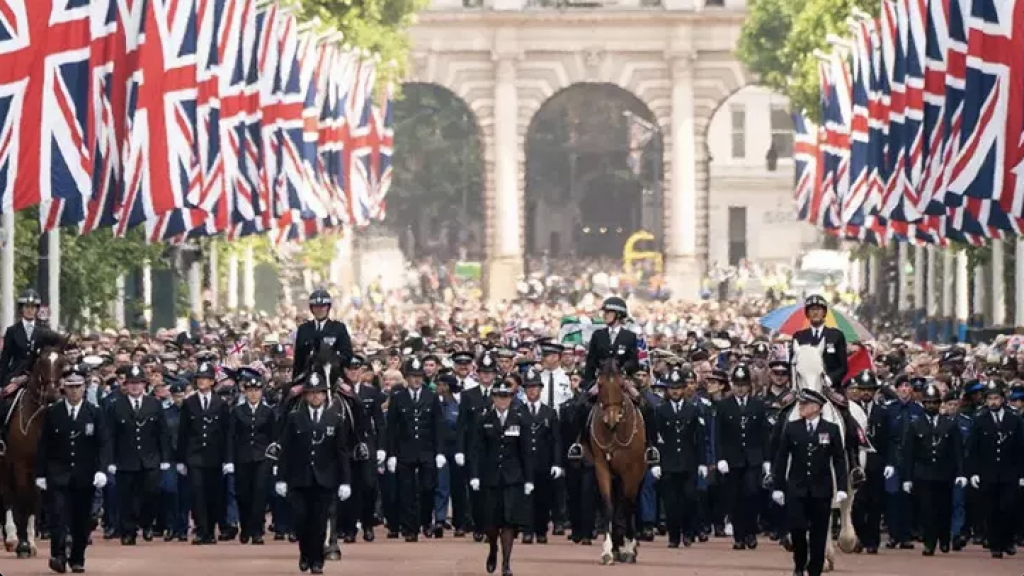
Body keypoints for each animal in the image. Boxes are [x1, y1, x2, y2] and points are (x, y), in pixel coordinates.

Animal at [1, 342, 64, 553]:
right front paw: (22, 543)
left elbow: (35, 499)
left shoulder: (41, 466)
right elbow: (22, 498)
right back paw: (12, 537)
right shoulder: (21, 463)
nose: (52, 395)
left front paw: (30, 540)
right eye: (41, 362)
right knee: (8, 495)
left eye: (62, 363)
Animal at [585, 356, 647, 561]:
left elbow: (627, 505)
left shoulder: (632, 470)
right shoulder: (602, 466)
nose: (611, 419)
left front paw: (628, 548)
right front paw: (607, 550)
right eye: (600, 384)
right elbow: (608, 506)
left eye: (621, 385)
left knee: (630, 504)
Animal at [786, 340, 868, 569]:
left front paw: (822, 556)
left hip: (850, 474)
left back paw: (845, 541)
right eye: (798, 372)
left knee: (846, 502)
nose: (810, 399)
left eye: (822, 373)